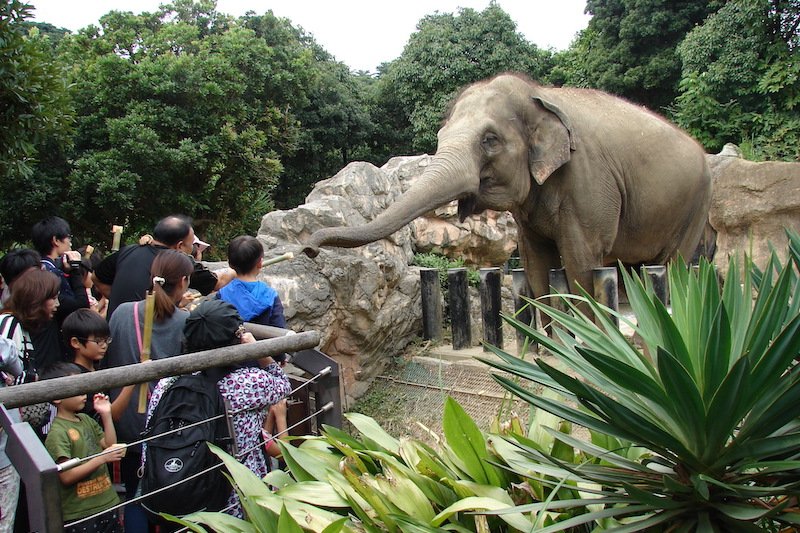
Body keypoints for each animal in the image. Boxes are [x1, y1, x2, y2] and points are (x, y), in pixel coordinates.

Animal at [302, 75, 712, 308]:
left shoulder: (588, 182)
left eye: (490, 140)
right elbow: (535, 264)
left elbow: (580, 262)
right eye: (440, 136)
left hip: (695, 205)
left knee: (670, 265)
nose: (308, 249)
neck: (539, 95)